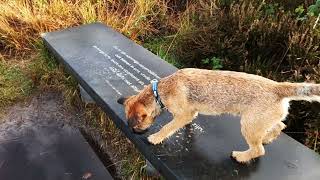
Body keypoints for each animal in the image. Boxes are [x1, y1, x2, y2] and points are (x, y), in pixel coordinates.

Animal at [117, 68, 320, 163]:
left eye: (136, 126)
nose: (133, 133)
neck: (160, 90)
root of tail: (277, 87)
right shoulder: (191, 112)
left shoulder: (182, 115)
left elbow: (168, 127)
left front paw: (155, 137)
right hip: (260, 121)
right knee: (279, 126)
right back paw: (268, 137)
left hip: (249, 125)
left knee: (258, 150)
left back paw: (241, 156)